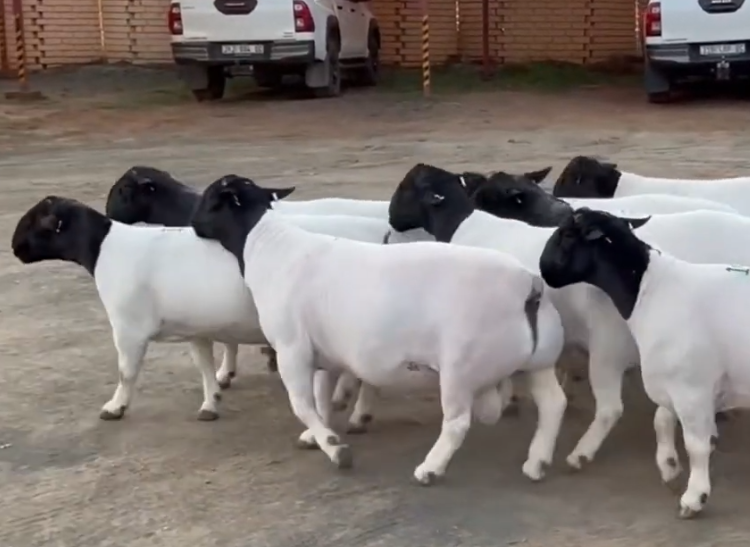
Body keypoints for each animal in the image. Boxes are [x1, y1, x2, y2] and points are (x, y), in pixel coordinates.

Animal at [190, 174, 567, 484]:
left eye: (211, 200)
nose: (192, 225)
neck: (268, 244)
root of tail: (528, 286)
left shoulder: (291, 347)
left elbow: (302, 405)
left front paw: (334, 448)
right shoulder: (324, 349)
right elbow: (321, 396)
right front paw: (317, 435)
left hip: (460, 367)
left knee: (458, 421)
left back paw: (430, 469)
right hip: (540, 360)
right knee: (553, 404)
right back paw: (537, 463)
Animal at [538, 207, 750, 519]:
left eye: (567, 234)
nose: (543, 270)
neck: (649, 291)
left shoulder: (691, 388)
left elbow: (696, 446)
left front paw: (694, 499)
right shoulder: (672, 382)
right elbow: (661, 421)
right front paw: (669, 466)